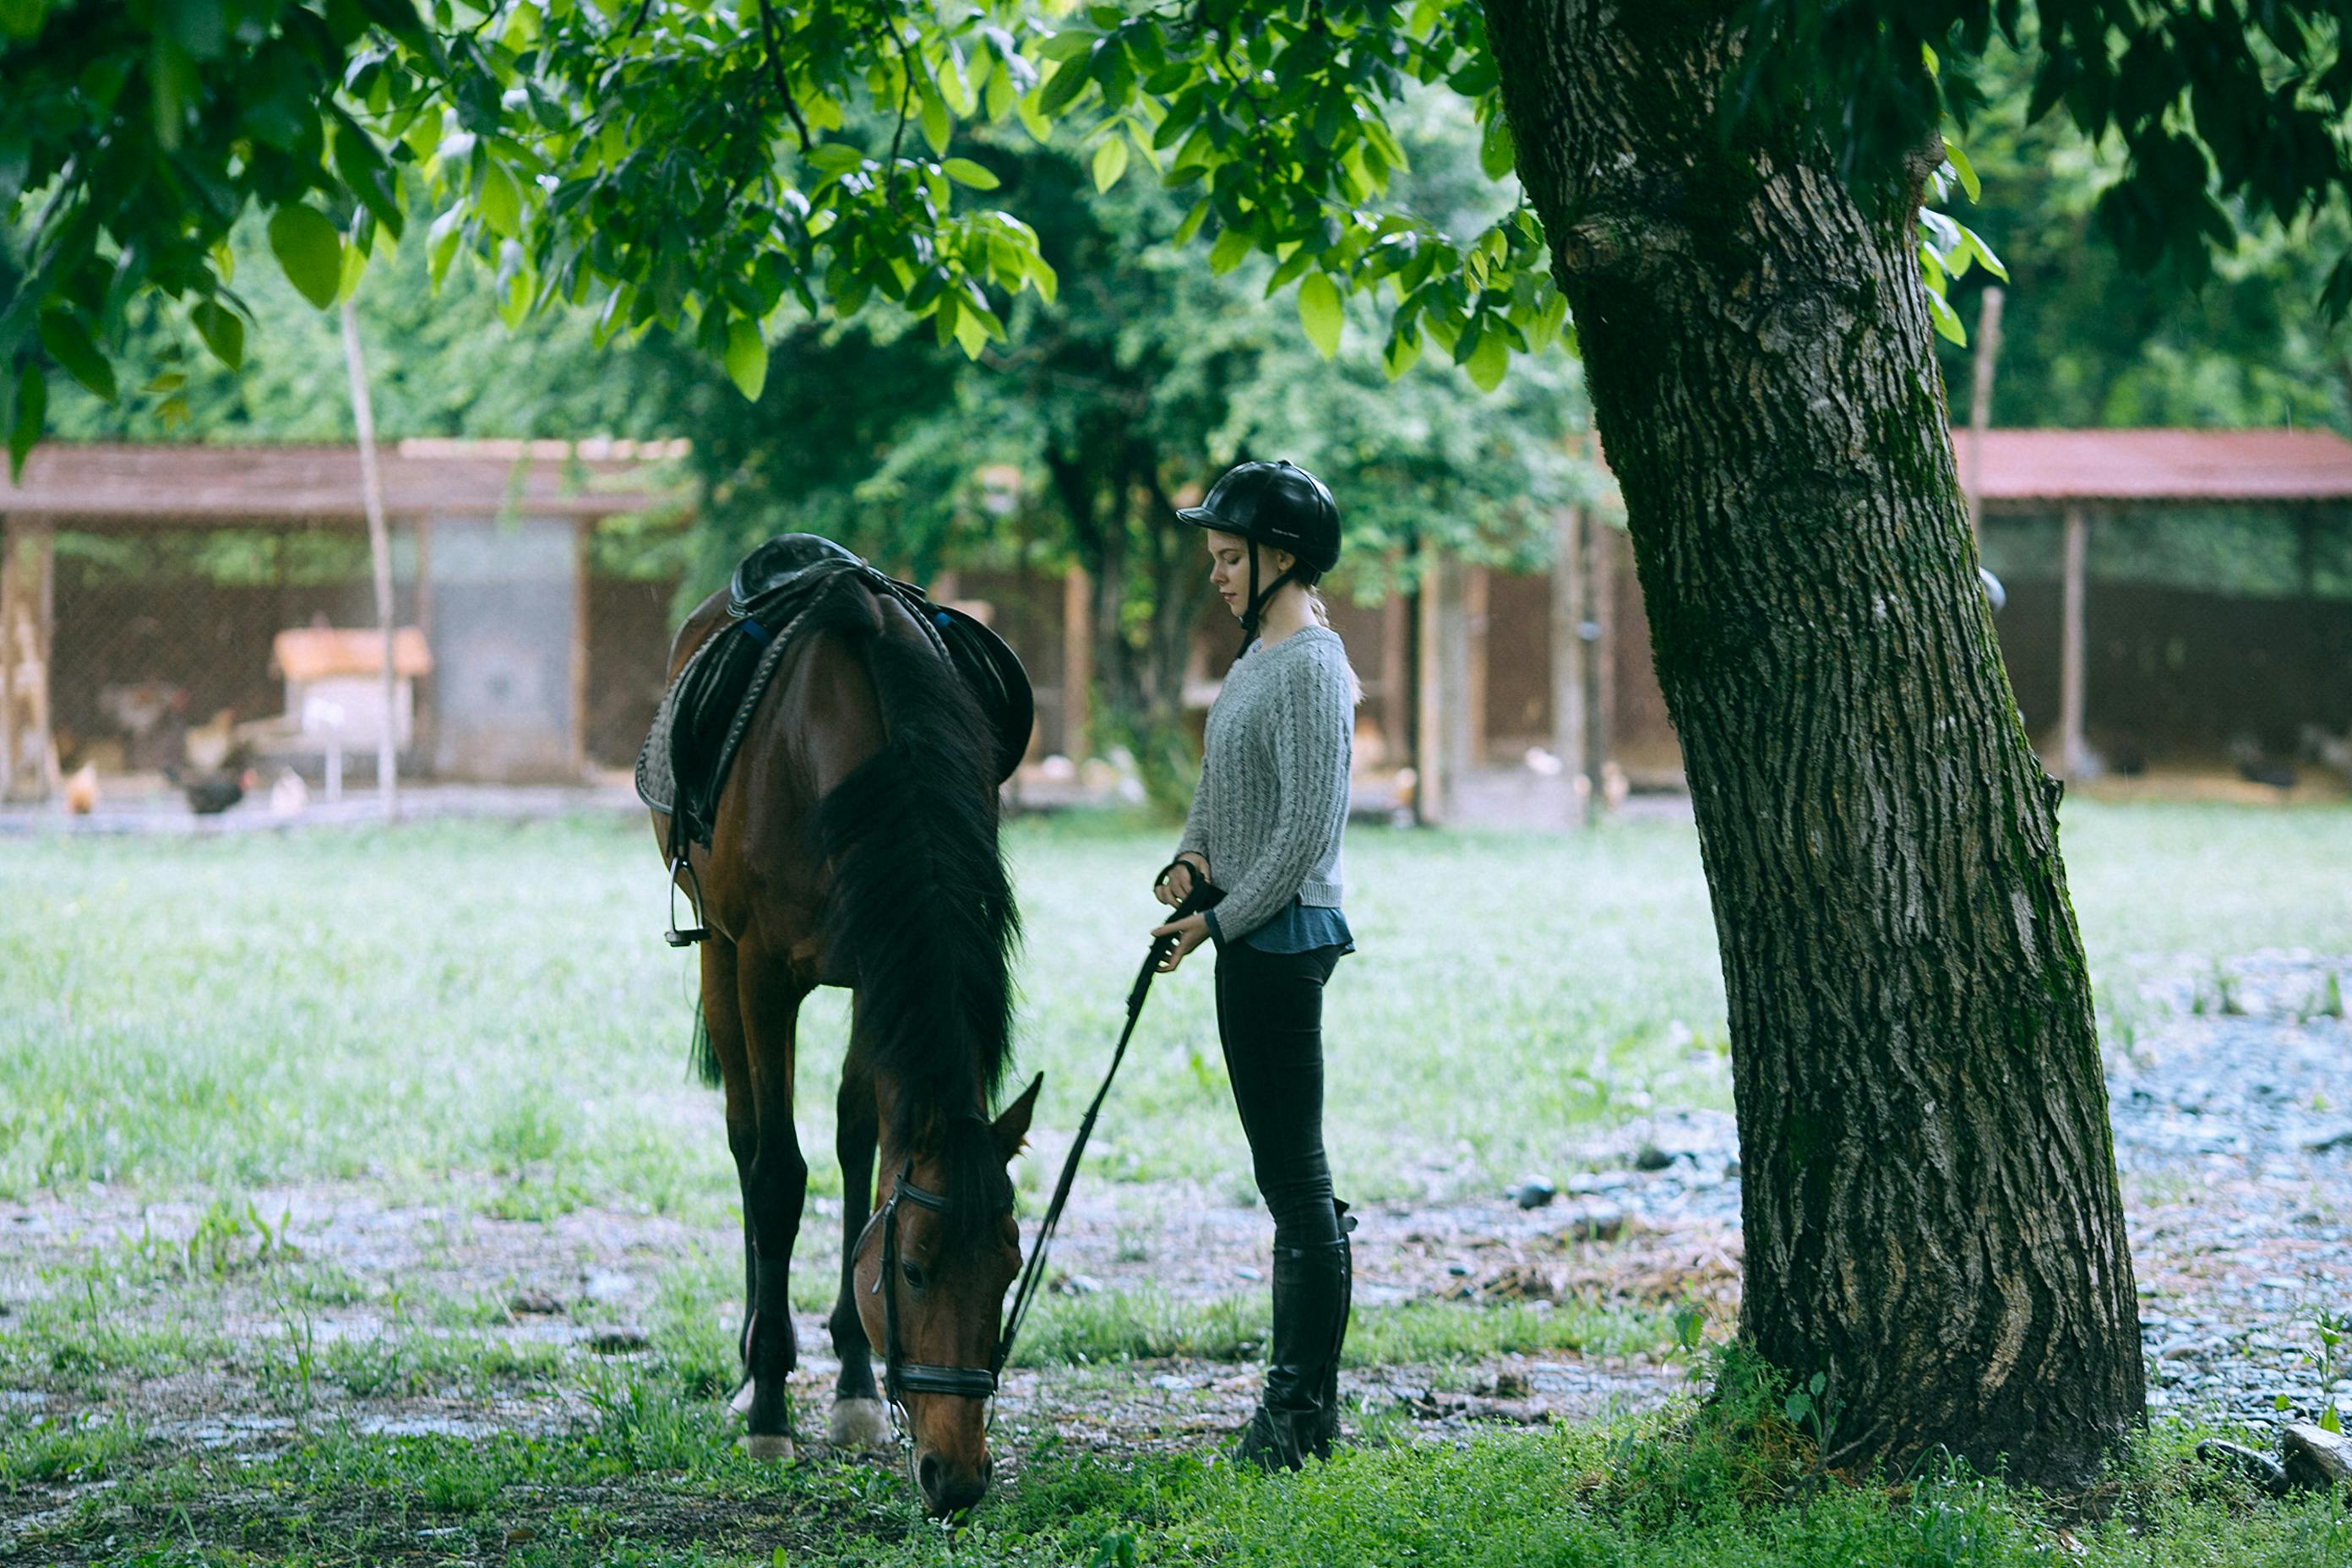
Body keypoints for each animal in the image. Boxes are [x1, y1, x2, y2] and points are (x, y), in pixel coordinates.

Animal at [648, 566, 1039, 1517]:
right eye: (916, 1270)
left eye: (1010, 1267)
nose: (958, 1475)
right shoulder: (761, 970)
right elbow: (777, 1176)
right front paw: (770, 1406)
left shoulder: (877, 966)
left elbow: (860, 1153)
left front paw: (856, 1390)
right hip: (716, 954)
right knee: (747, 1141)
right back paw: (753, 1363)